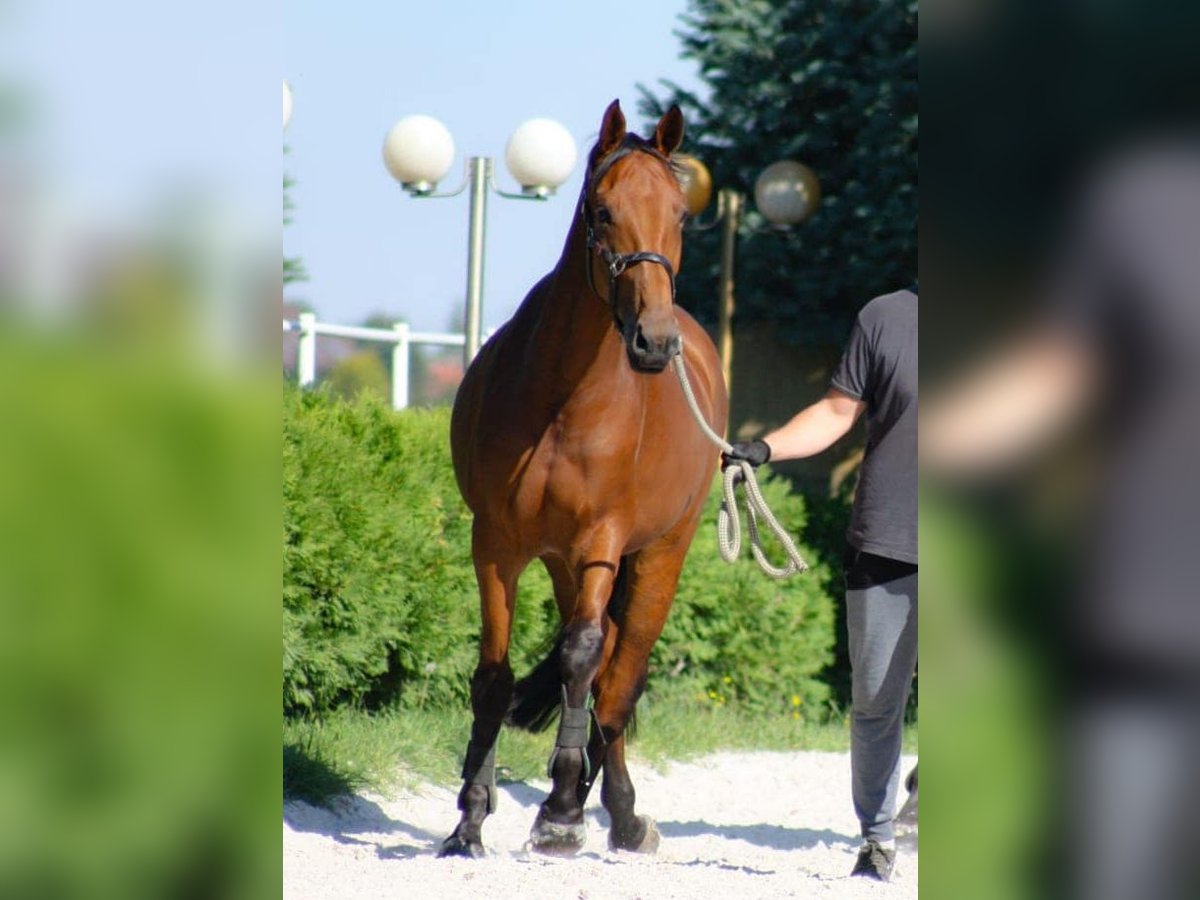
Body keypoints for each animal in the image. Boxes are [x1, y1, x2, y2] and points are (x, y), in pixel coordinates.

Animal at [439, 100, 724, 859]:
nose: (654, 341)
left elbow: (581, 659)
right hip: (565, 565)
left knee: (617, 678)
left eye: (680, 215)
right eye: (602, 211)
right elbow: (494, 677)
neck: (560, 399)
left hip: (658, 557)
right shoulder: (497, 544)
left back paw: (618, 813)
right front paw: (469, 819)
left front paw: (562, 810)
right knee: (602, 665)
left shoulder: (603, 540)